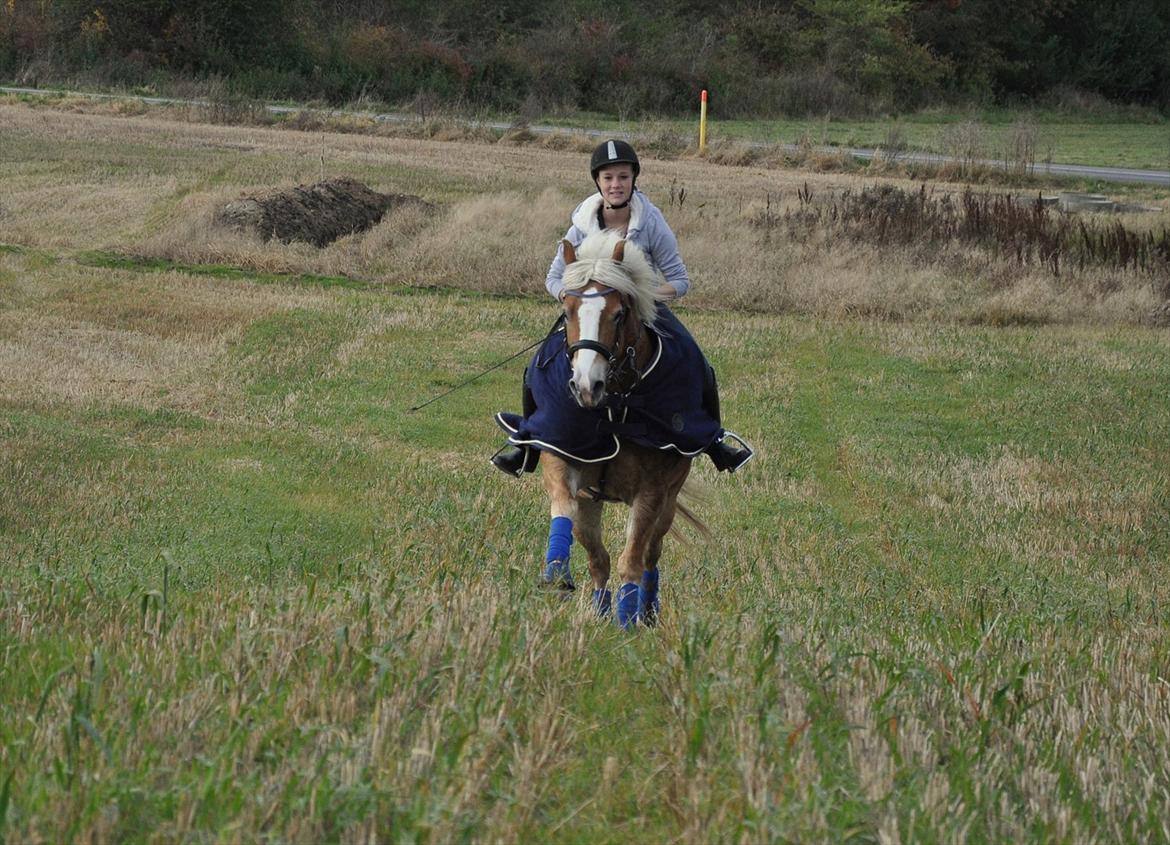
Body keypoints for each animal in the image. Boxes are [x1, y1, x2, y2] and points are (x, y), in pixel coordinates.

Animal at [531, 228, 702, 627]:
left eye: (619, 314)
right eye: (567, 310)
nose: (585, 386)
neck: (612, 404)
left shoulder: (652, 492)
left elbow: (632, 561)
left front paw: (626, 623)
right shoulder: (565, 463)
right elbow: (565, 511)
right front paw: (556, 571)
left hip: (669, 500)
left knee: (651, 555)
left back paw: (645, 613)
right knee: (599, 560)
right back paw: (602, 609)